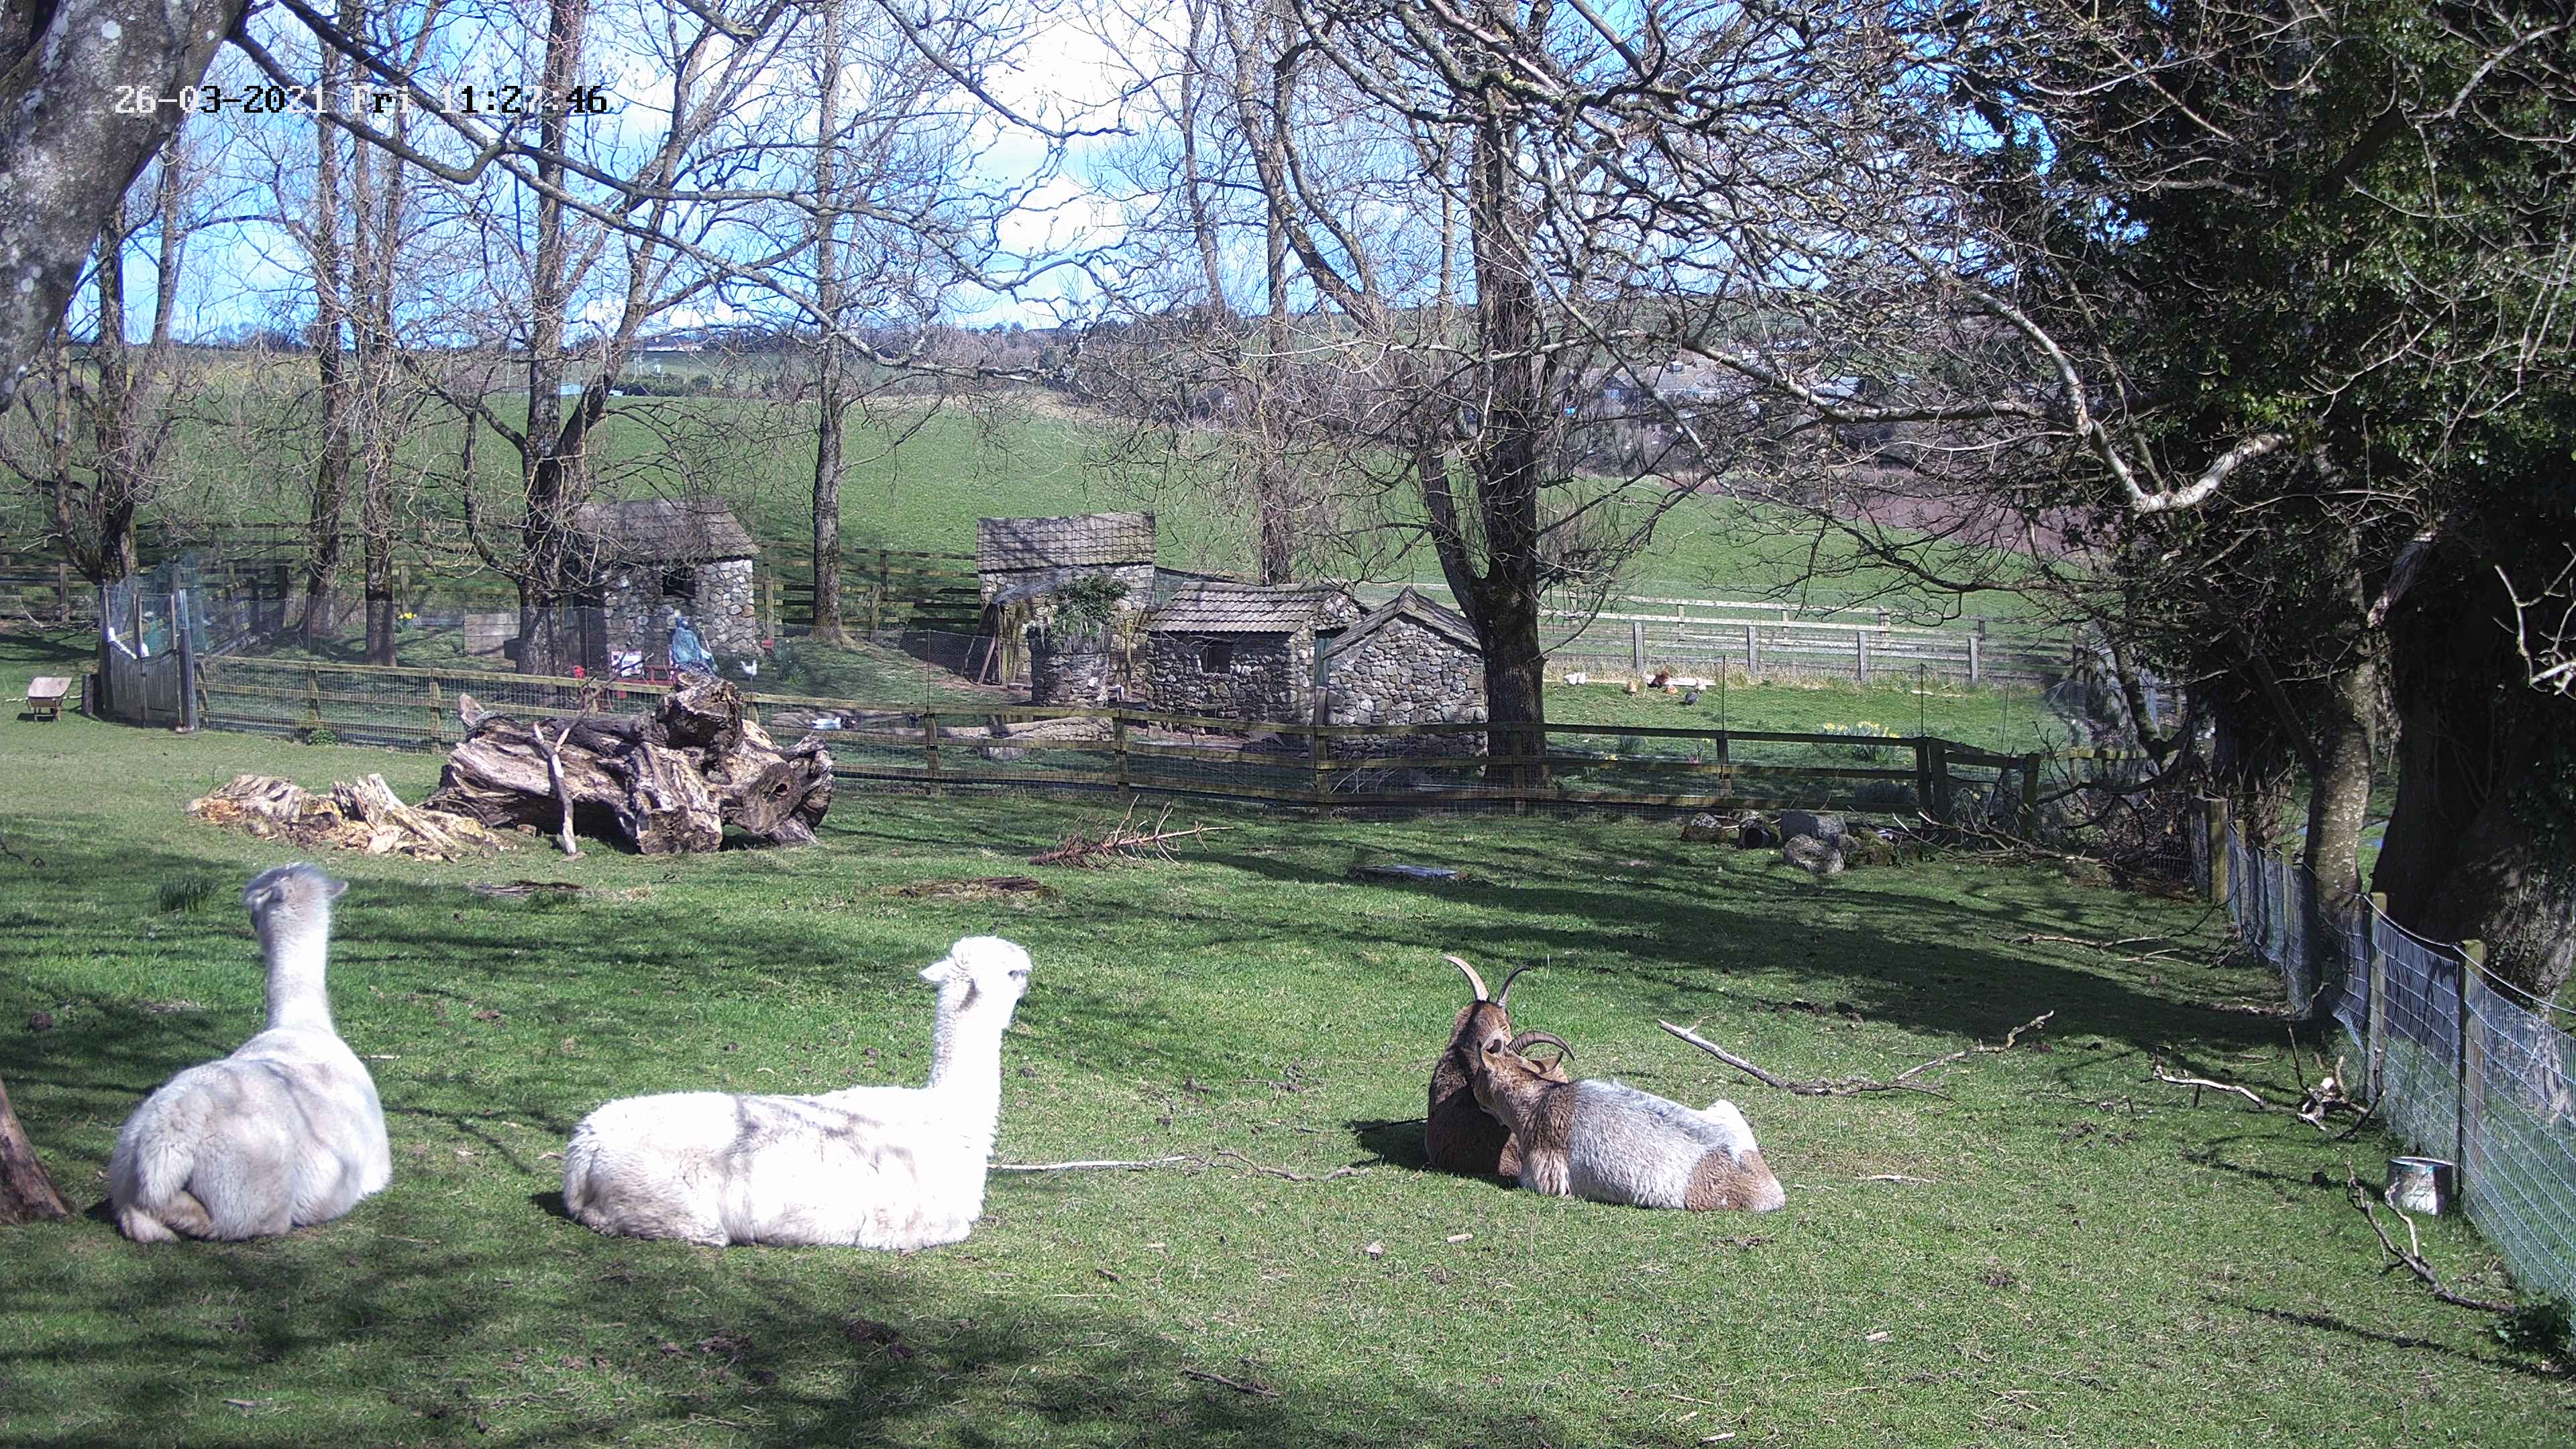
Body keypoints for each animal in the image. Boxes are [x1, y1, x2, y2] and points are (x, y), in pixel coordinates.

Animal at [107, 863, 391, 1242]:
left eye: (253, 910)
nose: (252, 924)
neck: (302, 1023)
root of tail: (178, 1123)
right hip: (245, 1195)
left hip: (127, 1163)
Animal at [561, 936, 1032, 1249]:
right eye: (1013, 971)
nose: (1032, 968)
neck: (950, 1116)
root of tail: (586, 1145)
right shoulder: (921, 1226)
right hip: (667, 1202)